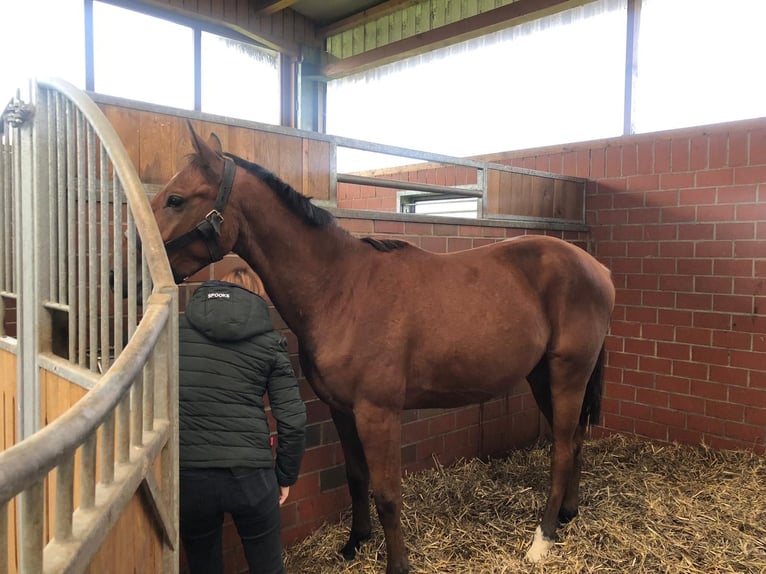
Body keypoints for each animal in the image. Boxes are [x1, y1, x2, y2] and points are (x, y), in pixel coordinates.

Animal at [153, 124, 616, 572]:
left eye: (175, 199)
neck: (341, 289)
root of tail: (597, 268)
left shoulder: (378, 414)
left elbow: (388, 494)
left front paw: (397, 564)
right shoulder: (342, 410)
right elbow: (356, 477)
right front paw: (354, 543)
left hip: (568, 374)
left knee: (561, 449)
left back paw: (543, 540)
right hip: (541, 377)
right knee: (574, 442)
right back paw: (568, 515)